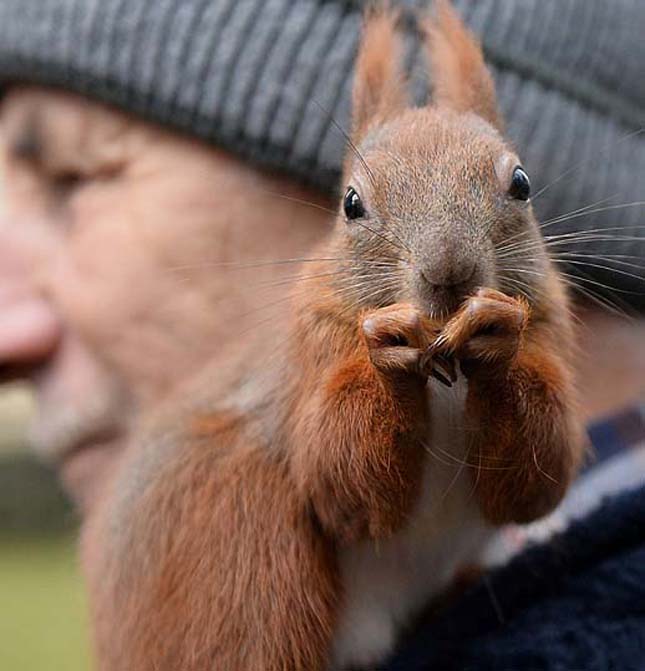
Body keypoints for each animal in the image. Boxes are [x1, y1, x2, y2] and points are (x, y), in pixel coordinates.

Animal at [80, 2, 584, 668]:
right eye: (351, 203)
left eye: (521, 183)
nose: (448, 272)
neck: (445, 371)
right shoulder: (313, 348)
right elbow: (345, 488)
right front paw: (389, 350)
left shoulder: (549, 326)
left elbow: (534, 481)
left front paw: (496, 333)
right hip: (237, 544)